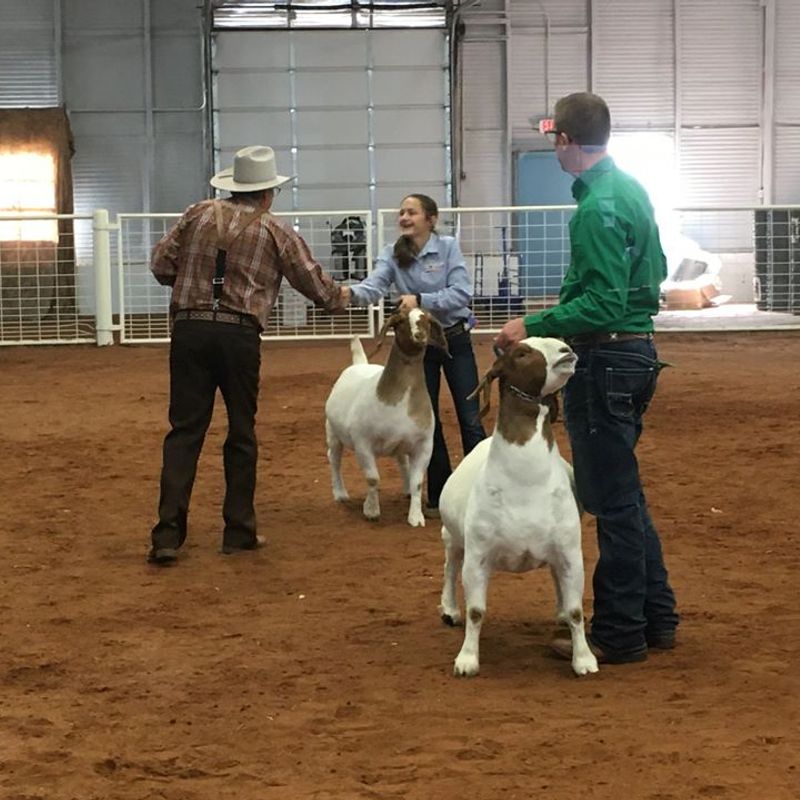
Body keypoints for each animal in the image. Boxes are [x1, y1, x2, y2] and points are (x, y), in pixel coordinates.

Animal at [325, 307, 449, 527]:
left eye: (427, 320)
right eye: (401, 321)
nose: (420, 335)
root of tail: (360, 364)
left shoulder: (424, 446)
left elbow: (418, 483)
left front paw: (416, 517)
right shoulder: (363, 443)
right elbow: (373, 478)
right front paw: (371, 510)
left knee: (402, 462)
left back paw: (406, 490)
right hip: (333, 433)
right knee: (334, 460)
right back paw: (340, 493)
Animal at [438, 336, 598, 677]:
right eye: (522, 353)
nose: (566, 350)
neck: (526, 482)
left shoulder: (570, 552)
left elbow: (577, 610)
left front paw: (584, 659)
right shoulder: (479, 556)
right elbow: (475, 611)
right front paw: (467, 660)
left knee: (555, 577)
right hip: (453, 536)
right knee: (449, 567)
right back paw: (449, 609)